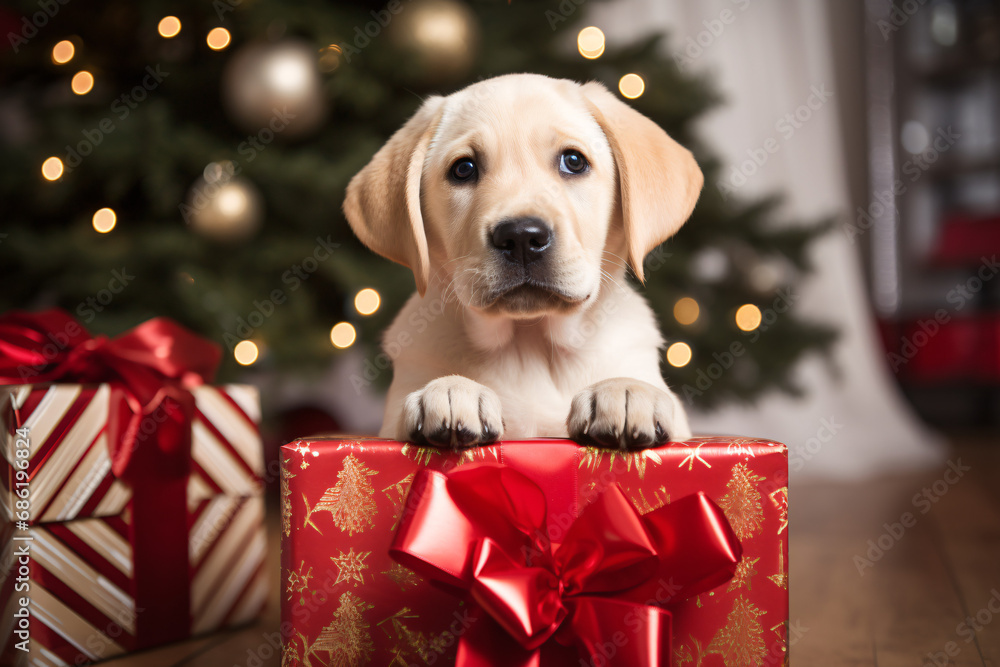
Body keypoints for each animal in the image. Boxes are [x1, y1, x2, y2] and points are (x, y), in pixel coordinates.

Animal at [344, 73, 704, 452]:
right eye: (463, 169)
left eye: (573, 161)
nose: (520, 238)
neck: (531, 345)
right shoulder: (391, 418)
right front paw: (451, 389)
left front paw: (624, 390)